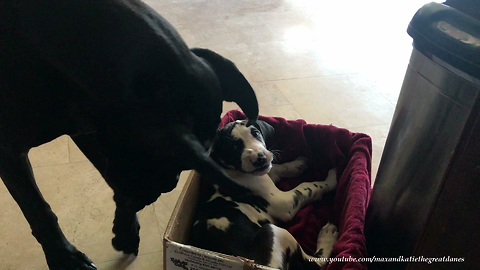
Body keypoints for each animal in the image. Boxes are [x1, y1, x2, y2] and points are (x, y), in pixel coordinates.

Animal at [0, 0, 258, 270]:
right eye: (170, 159)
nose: (167, 187)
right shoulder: (10, 151)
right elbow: (37, 209)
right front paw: (65, 258)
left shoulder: (91, 128)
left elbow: (110, 177)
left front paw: (125, 228)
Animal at [191, 121, 338, 270]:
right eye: (232, 147)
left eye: (256, 133)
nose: (260, 158)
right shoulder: (284, 203)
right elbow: (307, 187)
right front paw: (330, 181)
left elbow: (278, 168)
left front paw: (296, 165)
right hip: (273, 231)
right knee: (315, 263)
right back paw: (327, 237)